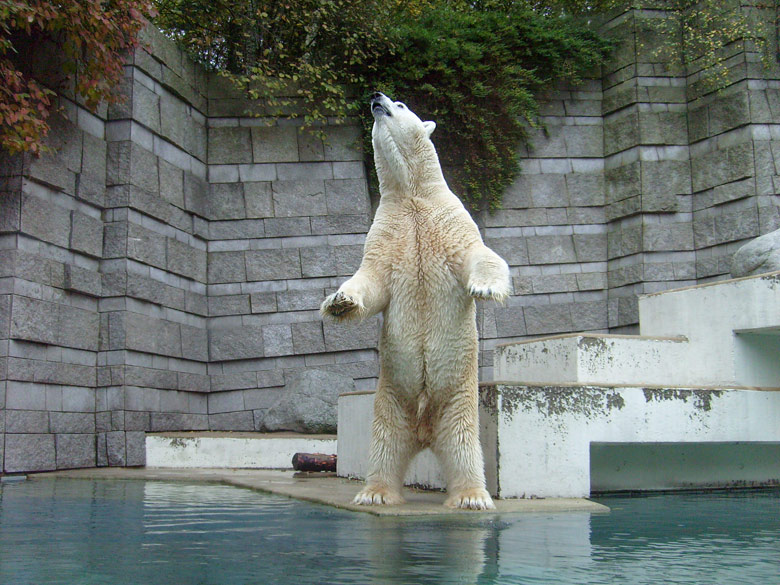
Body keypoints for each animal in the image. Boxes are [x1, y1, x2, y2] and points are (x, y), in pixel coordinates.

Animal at [318, 91, 512, 506]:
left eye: (402, 105)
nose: (376, 96)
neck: (413, 197)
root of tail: (424, 431)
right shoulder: (388, 235)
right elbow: (371, 281)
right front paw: (339, 301)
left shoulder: (449, 224)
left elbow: (479, 255)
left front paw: (486, 289)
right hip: (390, 396)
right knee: (385, 444)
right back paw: (375, 493)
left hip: (458, 397)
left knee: (463, 445)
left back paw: (471, 496)